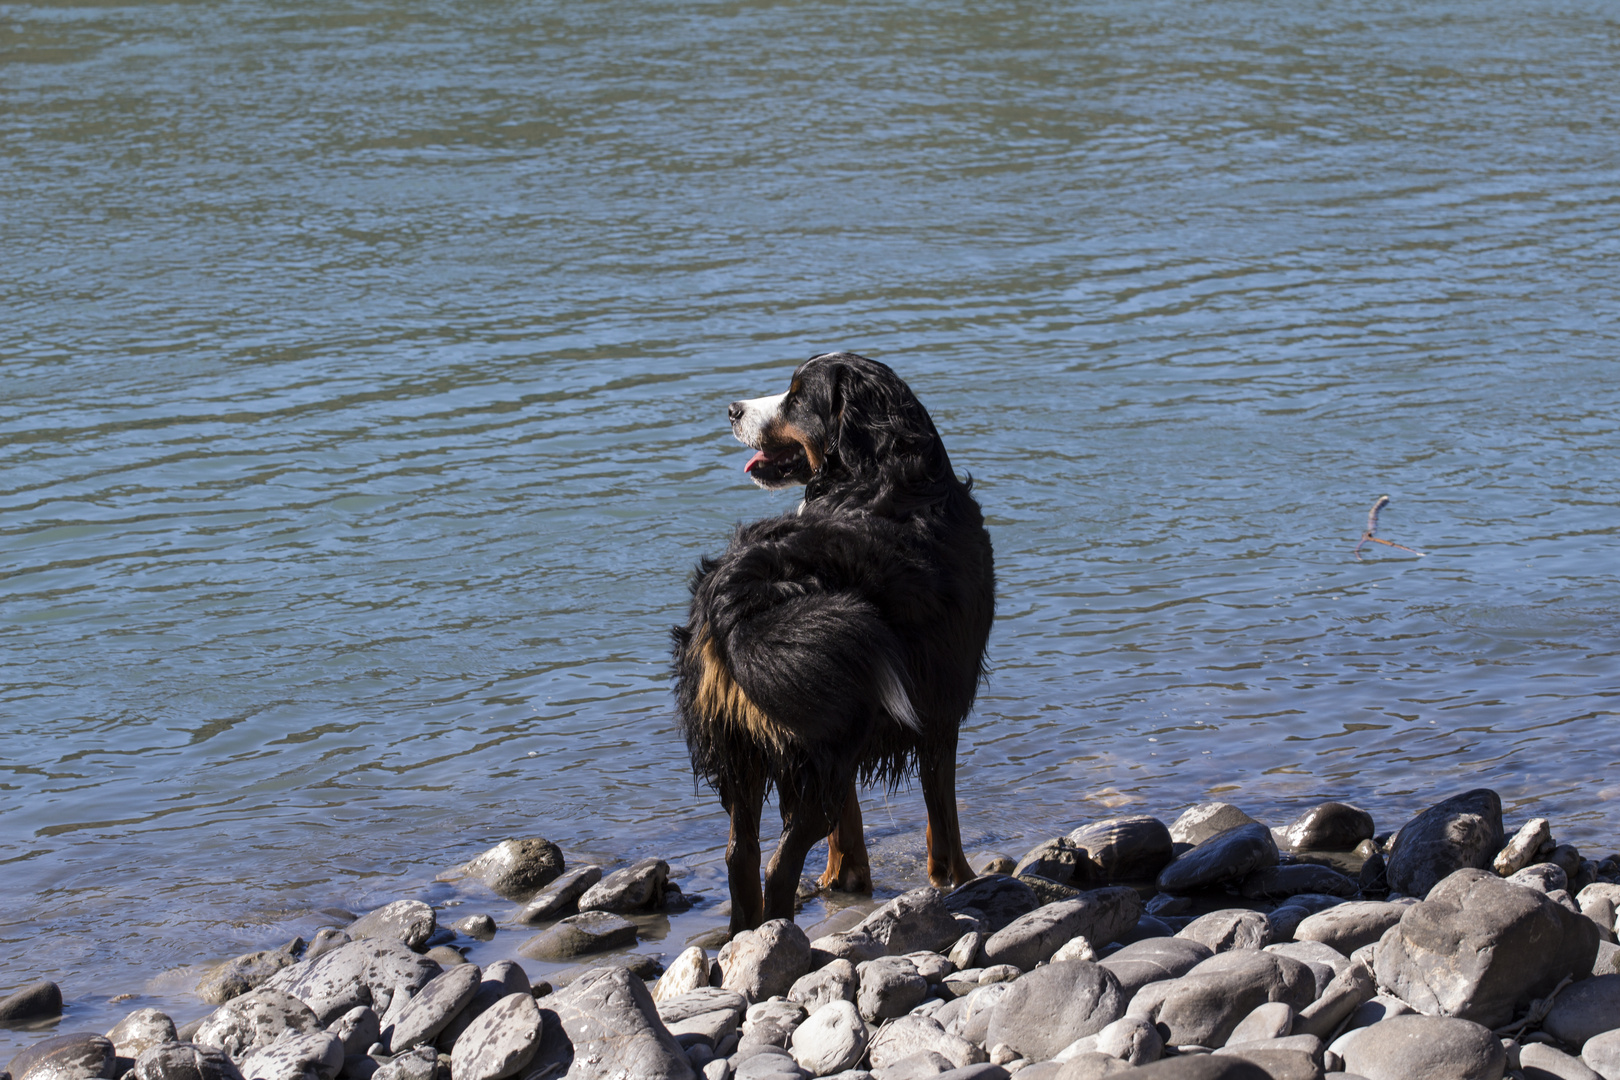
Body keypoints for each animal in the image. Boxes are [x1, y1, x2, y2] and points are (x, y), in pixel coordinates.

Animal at [667, 351, 991, 932]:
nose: (732, 409)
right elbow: (944, 821)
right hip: (825, 748)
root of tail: (743, 586)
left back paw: (745, 934)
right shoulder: (940, 710)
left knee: (742, 854)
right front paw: (960, 880)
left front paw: (846, 877)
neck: (883, 479)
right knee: (779, 862)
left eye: (796, 398)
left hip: (745, 747)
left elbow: (852, 824)